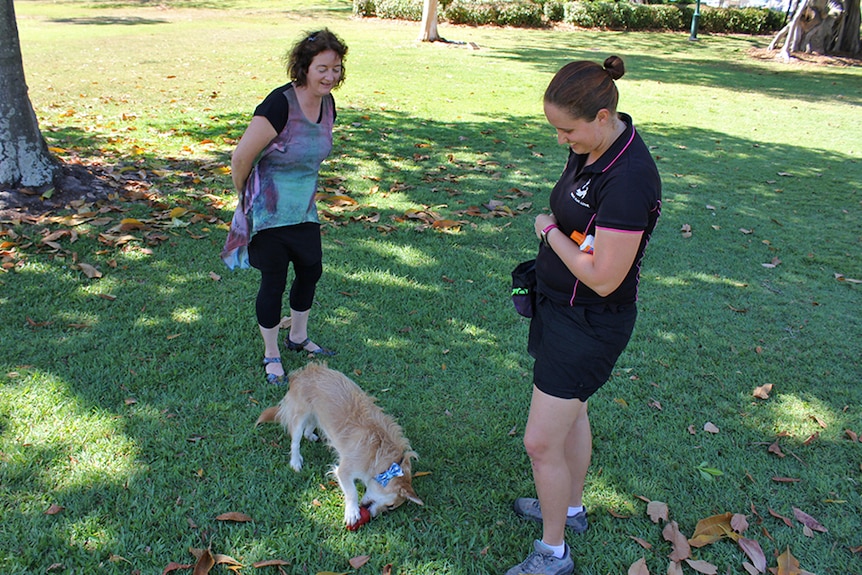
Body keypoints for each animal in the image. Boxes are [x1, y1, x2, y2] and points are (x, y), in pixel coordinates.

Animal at [256, 364, 426, 528]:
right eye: (390, 506)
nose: (373, 516)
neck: (383, 457)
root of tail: (306, 370)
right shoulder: (344, 470)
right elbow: (352, 492)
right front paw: (352, 512)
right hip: (300, 417)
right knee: (295, 442)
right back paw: (296, 461)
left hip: (318, 413)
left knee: (310, 427)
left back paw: (310, 435)